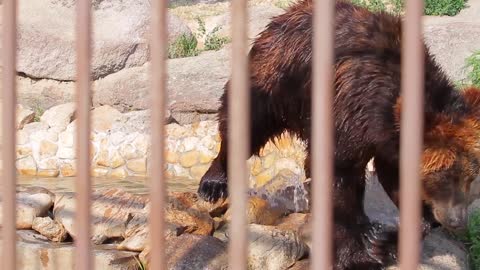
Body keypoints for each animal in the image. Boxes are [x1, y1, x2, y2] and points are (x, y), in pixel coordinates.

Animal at [197, 1, 478, 268]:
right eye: (442, 176)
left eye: (471, 176)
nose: (457, 220)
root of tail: (286, 13)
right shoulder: (350, 108)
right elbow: (338, 176)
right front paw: (358, 255)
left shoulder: (387, 139)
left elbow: (393, 178)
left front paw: (385, 240)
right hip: (274, 78)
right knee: (245, 125)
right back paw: (213, 183)